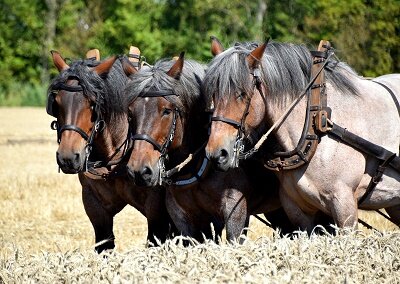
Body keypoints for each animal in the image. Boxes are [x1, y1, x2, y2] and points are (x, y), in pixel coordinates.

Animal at [47, 50, 176, 252]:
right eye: (57, 102)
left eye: (93, 103)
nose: (68, 158)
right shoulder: (94, 206)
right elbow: (105, 245)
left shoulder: (157, 211)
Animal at [122, 53, 312, 242]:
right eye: (130, 113)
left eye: (167, 111)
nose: (139, 170)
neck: (197, 166)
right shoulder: (183, 217)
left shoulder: (236, 211)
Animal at [205, 36, 398, 232]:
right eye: (213, 94)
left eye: (242, 94)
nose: (217, 154)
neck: (316, 125)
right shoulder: (297, 210)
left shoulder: (344, 204)